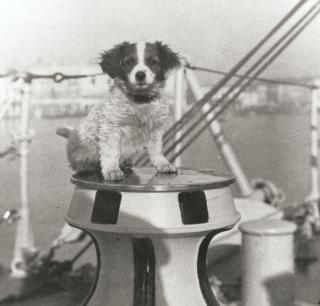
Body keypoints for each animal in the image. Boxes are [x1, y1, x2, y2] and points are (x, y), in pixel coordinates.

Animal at [57, 42, 180, 183]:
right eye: (129, 62)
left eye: (153, 62)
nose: (140, 75)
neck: (139, 101)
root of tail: (72, 134)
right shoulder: (111, 128)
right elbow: (111, 152)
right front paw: (112, 170)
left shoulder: (156, 128)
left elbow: (156, 150)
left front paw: (162, 164)